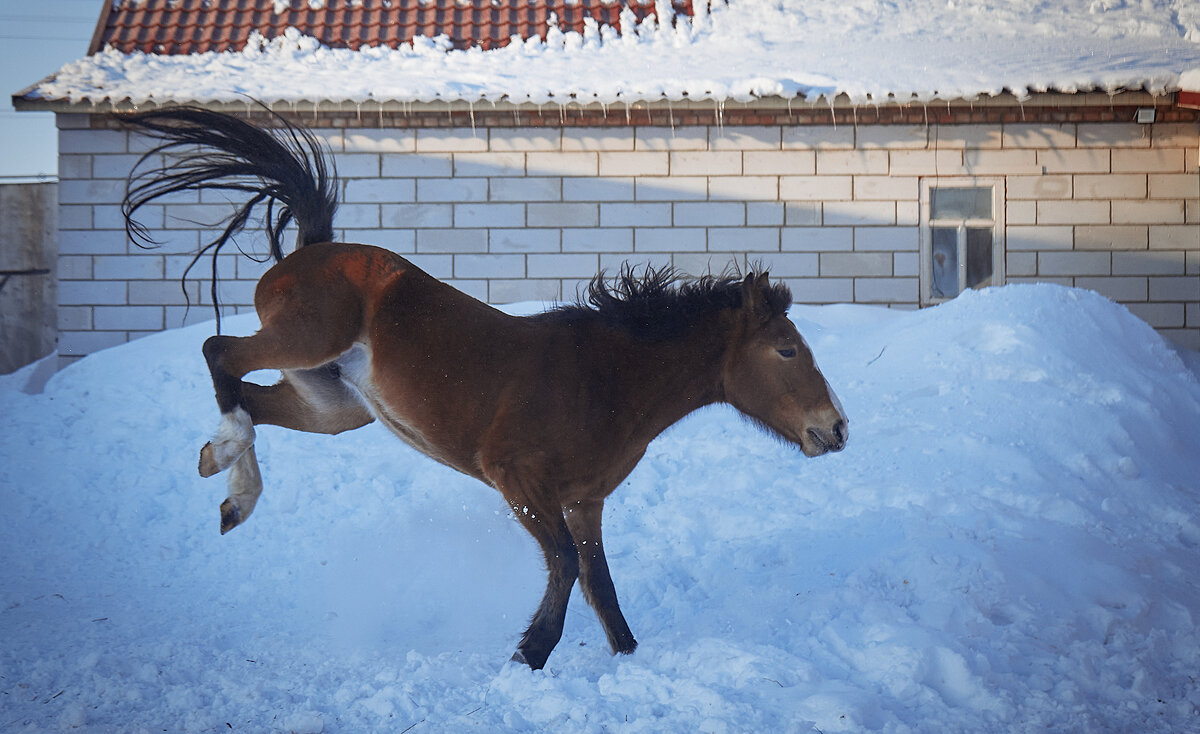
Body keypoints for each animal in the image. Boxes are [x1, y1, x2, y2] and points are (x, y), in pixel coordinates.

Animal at [121, 106, 849, 666]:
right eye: (786, 349)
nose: (836, 427)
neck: (605, 378)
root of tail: (312, 247)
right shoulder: (518, 480)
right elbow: (565, 566)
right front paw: (530, 652)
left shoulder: (585, 501)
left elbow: (600, 585)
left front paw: (622, 656)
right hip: (305, 341)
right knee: (220, 353)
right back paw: (228, 461)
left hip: (332, 404)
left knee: (249, 395)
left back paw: (230, 489)